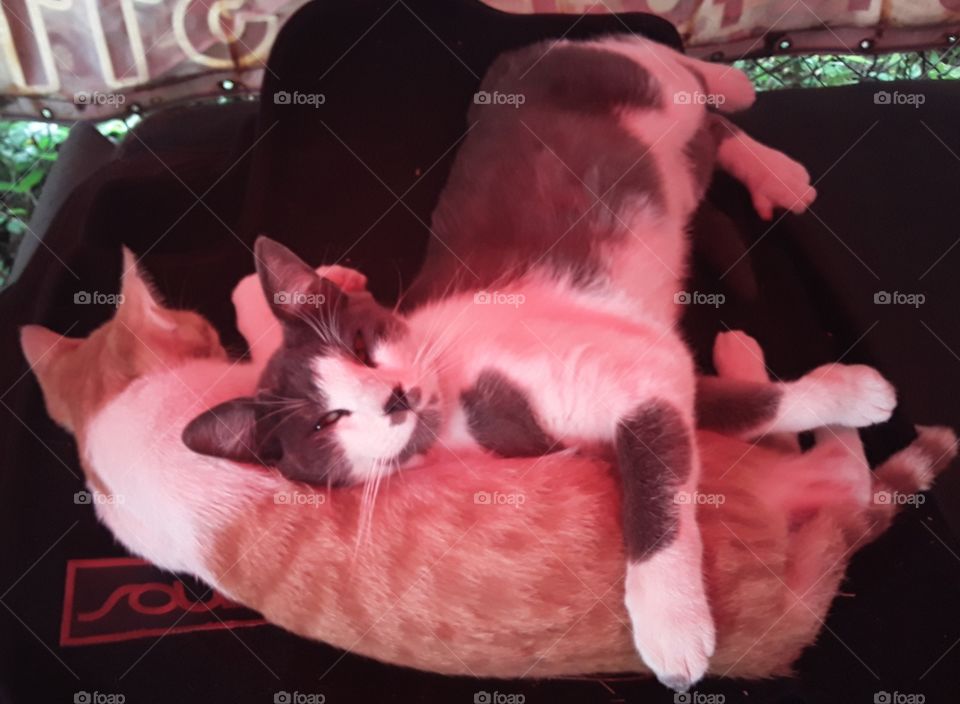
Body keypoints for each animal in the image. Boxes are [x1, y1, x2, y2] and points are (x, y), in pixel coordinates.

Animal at [21, 269, 955, 680]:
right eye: (324, 421)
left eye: (358, 344)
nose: (392, 393)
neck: (111, 422)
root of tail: (783, 631)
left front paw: (278, 288)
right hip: (745, 478)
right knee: (830, 469)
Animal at [180, 36, 892, 689]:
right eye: (325, 422)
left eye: (359, 345)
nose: (393, 396)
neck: (461, 402)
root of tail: (520, 55)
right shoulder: (641, 379)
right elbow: (727, 412)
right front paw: (853, 395)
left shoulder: (631, 369)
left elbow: (660, 486)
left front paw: (671, 623)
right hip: (679, 167)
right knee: (704, 140)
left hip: (641, 83)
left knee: (678, 73)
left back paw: (750, 119)